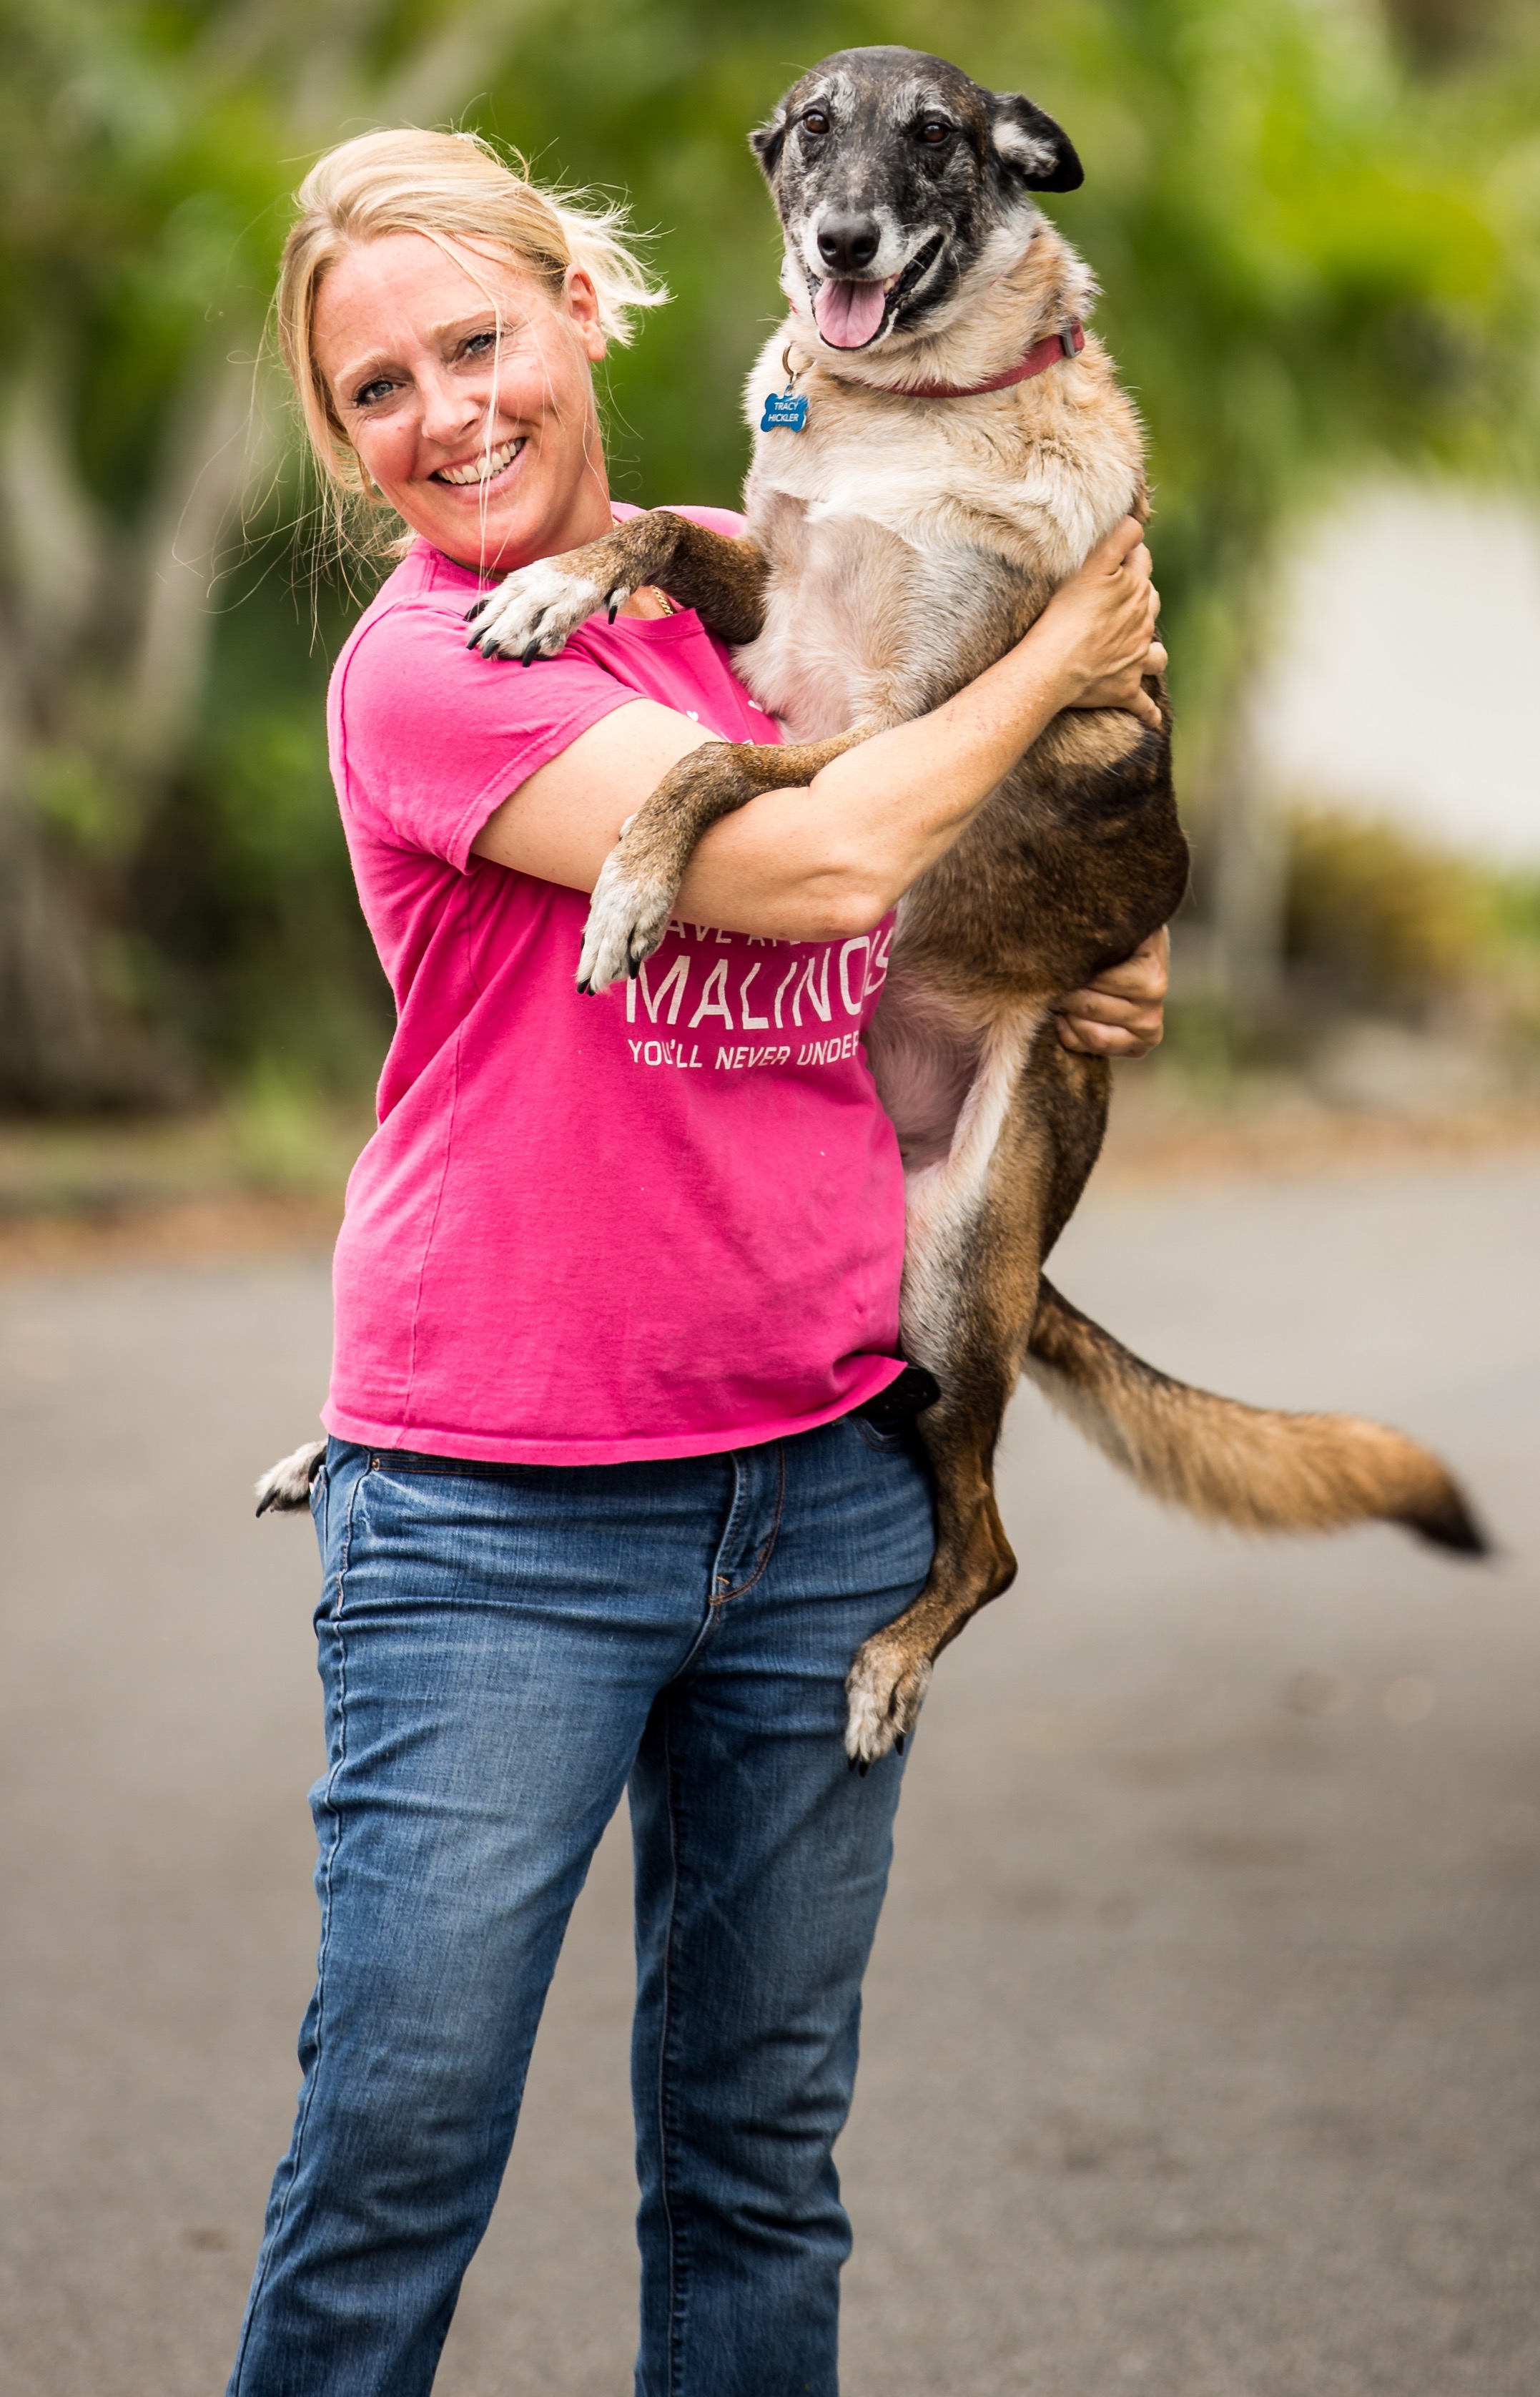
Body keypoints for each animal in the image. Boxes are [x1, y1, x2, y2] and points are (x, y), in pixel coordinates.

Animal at [455, 37, 1484, 1764]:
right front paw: (551, 582)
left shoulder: (884, 733)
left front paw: (631, 884)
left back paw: (890, 1662)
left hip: (949, 1278)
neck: (900, 412)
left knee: (990, 1542)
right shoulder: (775, 635)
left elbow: (708, 767)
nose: (841, 244)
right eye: (814, 131)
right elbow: (655, 529)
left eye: (934, 138)